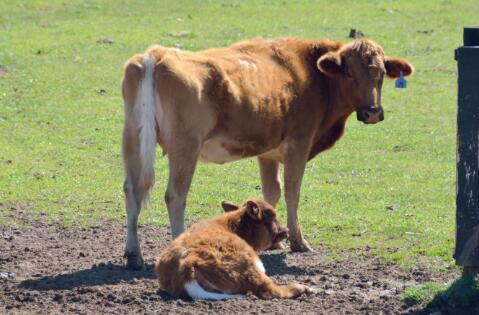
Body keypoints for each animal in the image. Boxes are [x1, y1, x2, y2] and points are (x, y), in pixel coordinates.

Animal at [120, 37, 412, 270]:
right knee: (175, 196)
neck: (312, 74)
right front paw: (298, 241)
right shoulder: (299, 143)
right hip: (185, 147)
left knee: (132, 190)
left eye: (381, 73)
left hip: (132, 141)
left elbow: (272, 191)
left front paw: (274, 241)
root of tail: (156, 54)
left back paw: (134, 255)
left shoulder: (268, 153)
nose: (372, 112)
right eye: (349, 73)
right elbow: (293, 191)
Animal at [156, 199, 314, 300]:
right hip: (251, 268)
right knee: (271, 290)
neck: (232, 226)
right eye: (272, 217)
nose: (286, 230)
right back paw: (304, 288)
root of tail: (188, 262)